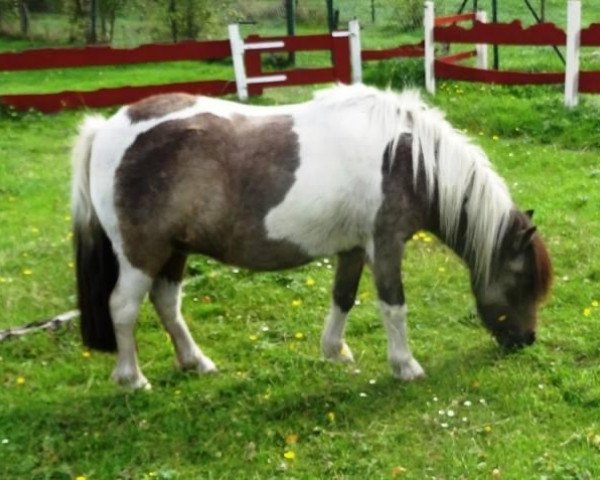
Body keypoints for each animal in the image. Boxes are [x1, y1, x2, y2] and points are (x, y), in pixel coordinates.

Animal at [72, 83, 552, 390]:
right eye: (522, 281)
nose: (527, 340)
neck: (407, 158)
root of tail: (105, 130)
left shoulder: (353, 248)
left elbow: (343, 298)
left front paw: (334, 351)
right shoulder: (386, 245)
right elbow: (394, 307)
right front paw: (405, 366)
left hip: (175, 251)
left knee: (167, 303)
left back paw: (196, 362)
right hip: (141, 255)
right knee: (123, 308)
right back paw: (133, 379)